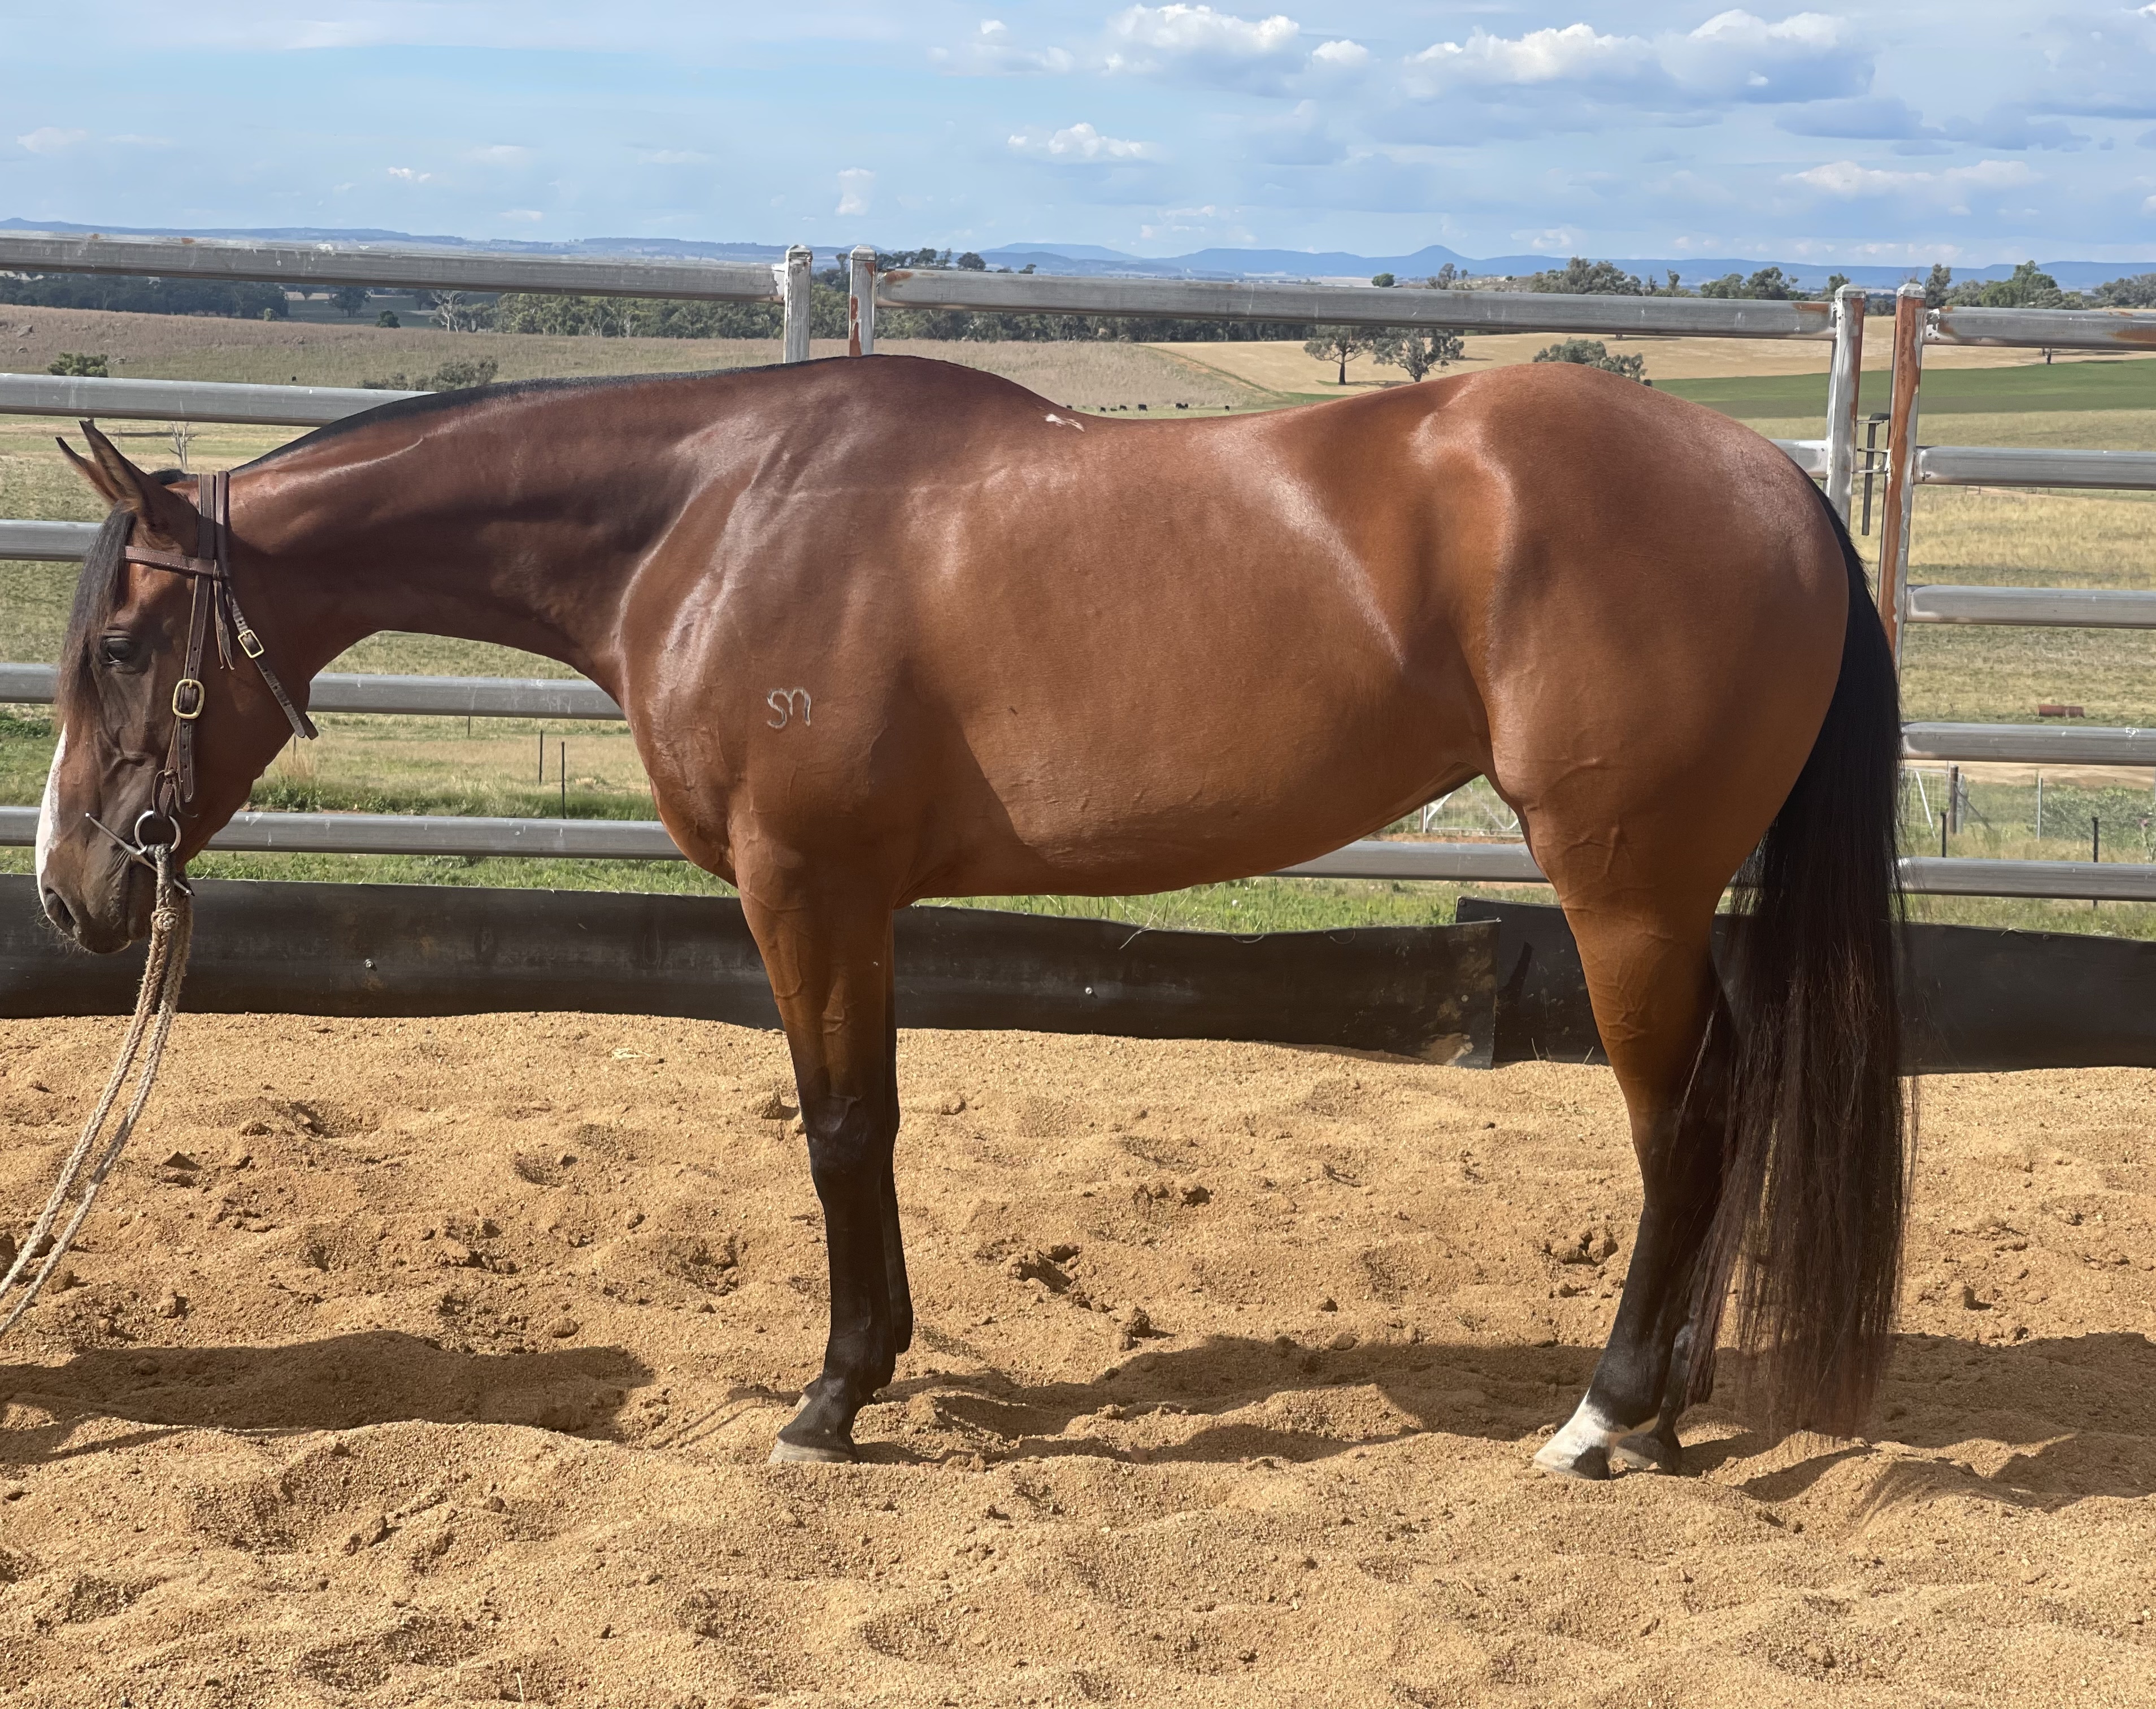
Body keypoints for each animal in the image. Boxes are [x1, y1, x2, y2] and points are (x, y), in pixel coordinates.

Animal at [33, 354, 1906, 1475]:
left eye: (120, 646)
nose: (73, 888)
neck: (712, 518)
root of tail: (1783, 491)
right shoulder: (855, 898)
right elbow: (868, 1119)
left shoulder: (808, 887)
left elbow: (841, 1128)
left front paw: (831, 1399)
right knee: (1734, 1101)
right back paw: (1675, 1403)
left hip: (1624, 892)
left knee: (1685, 1118)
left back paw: (1607, 1418)